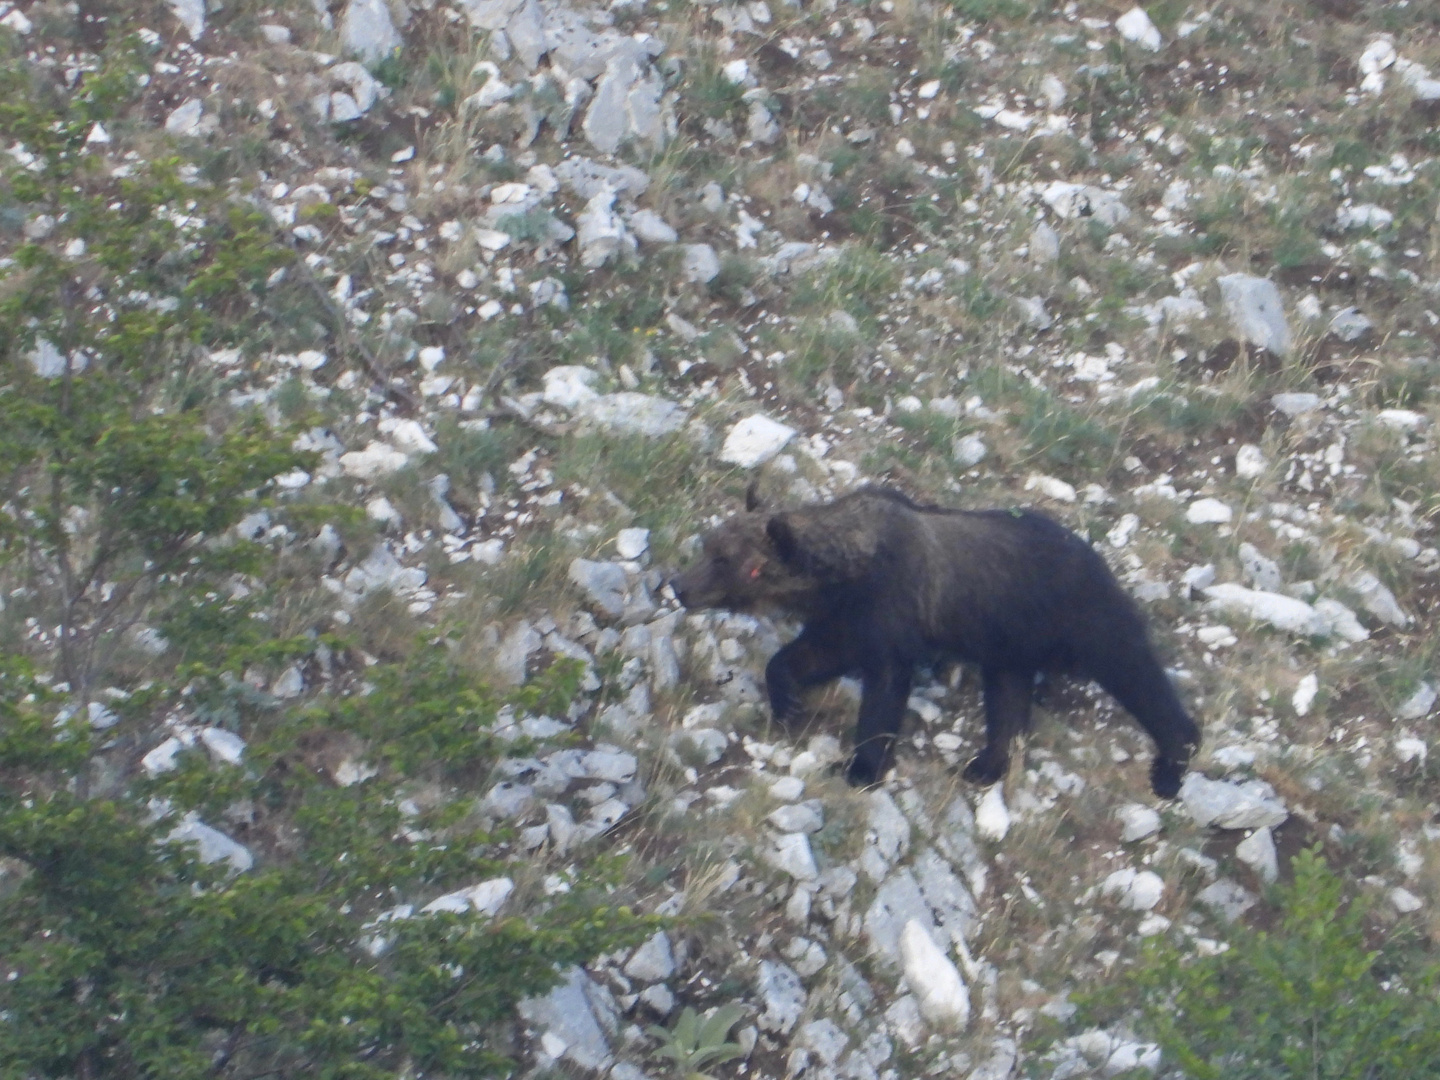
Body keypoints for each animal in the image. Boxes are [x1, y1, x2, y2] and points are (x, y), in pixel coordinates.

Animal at [673, 486, 1203, 800]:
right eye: (708, 547)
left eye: (727, 560)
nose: (678, 586)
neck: (844, 573)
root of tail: (1100, 558)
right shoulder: (846, 619)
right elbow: (810, 655)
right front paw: (786, 700)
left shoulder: (892, 611)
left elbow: (885, 690)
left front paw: (860, 766)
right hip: (1009, 646)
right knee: (1008, 704)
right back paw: (983, 764)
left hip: (1080, 617)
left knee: (1134, 670)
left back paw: (1171, 762)